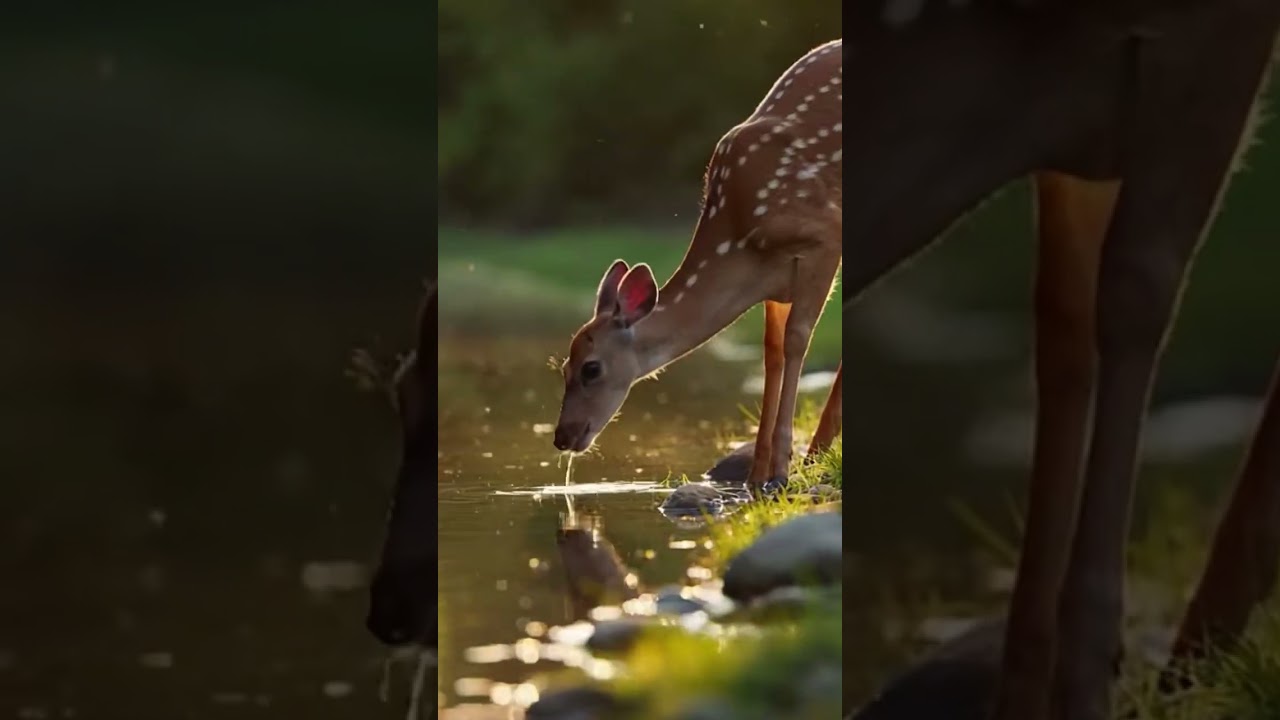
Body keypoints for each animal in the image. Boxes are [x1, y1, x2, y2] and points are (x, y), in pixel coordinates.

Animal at [552, 39, 845, 494]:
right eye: (563, 367)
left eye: (591, 368)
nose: (562, 436)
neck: (742, 243)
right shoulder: (779, 283)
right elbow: (772, 353)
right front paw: (756, 476)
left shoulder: (824, 234)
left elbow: (798, 340)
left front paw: (781, 471)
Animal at [844, 2, 1280, 720]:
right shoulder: (1073, 161)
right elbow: (1061, 332)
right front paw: (1024, 690)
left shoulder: (1218, 40)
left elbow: (1135, 294)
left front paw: (1088, 682)